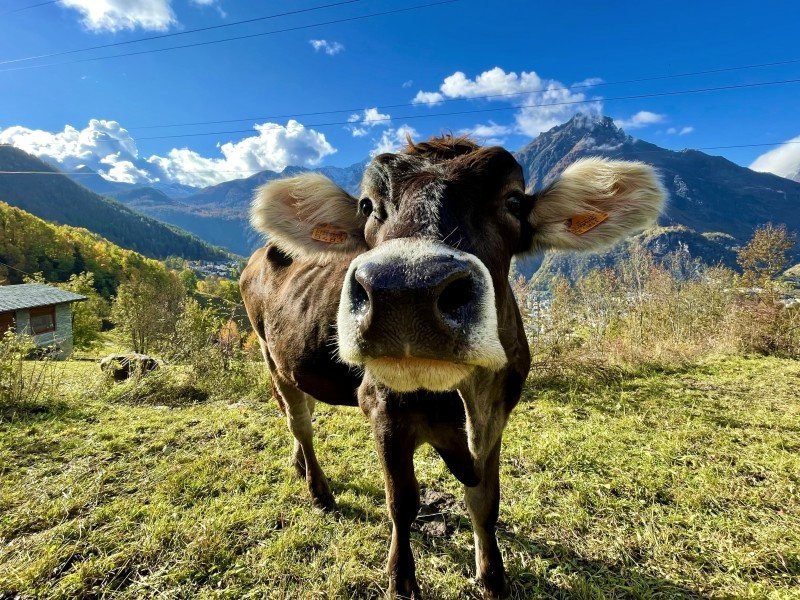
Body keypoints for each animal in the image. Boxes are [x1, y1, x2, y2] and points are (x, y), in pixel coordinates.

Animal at [240, 136, 665, 599]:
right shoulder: (382, 408)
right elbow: (402, 502)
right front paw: (401, 578)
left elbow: (485, 501)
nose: (406, 290)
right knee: (299, 420)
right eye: (367, 206)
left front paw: (492, 576)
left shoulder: (498, 414)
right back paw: (318, 490)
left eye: (514, 201)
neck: (467, 397)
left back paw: (300, 466)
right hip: (271, 355)